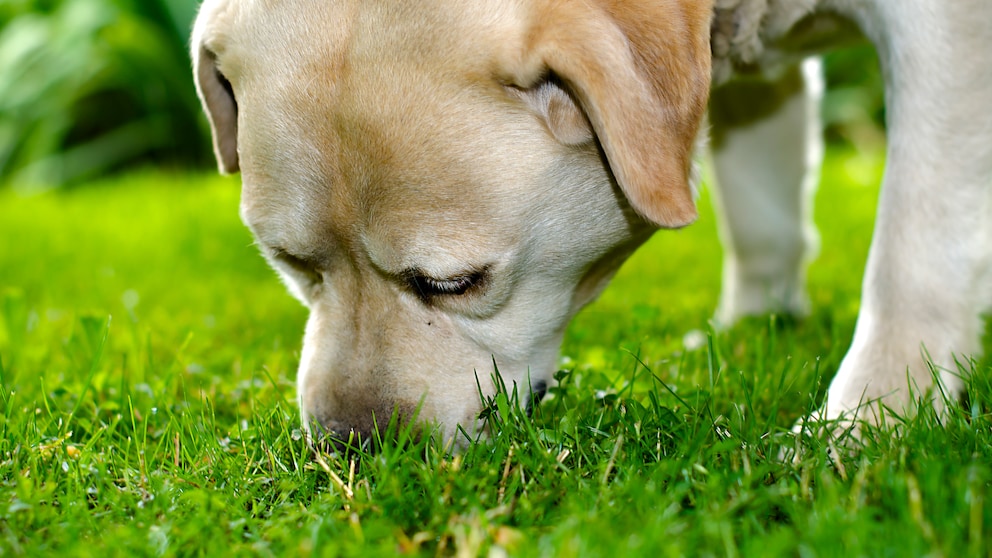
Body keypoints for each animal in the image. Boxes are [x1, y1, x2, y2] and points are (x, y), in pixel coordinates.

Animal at [192, 0, 992, 446]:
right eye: (292, 265)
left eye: (454, 283)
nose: (353, 447)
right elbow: (763, 218)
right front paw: (757, 329)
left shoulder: (943, 33)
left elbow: (912, 253)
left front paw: (867, 425)